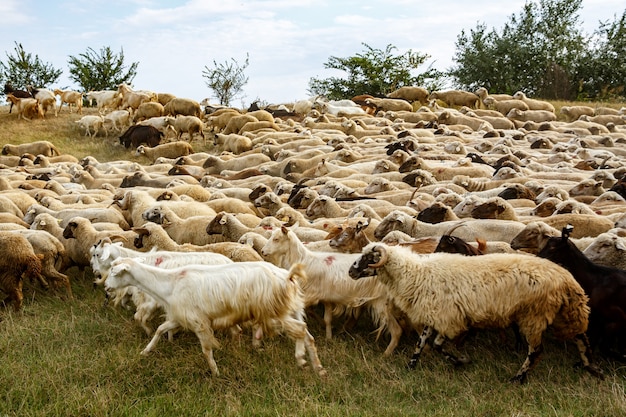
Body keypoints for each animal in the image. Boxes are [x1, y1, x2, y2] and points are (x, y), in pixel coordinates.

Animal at [104, 258, 324, 376]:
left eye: (114, 273)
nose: (105, 288)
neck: (170, 284)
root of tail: (288, 276)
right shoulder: (180, 316)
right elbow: (159, 330)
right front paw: (145, 351)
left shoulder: (198, 321)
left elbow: (206, 350)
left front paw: (215, 372)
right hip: (289, 310)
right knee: (308, 335)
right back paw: (318, 368)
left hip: (274, 312)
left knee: (300, 330)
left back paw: (301, 358)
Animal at [348, 242, 604, 382]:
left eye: (369, 257)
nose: (351, 272)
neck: (415, 274)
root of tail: (566, 279)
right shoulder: (433, 313)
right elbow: (422, 343)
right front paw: (411, 366)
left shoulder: (449, 317)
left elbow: (437, 345)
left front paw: (461, 360)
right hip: (564, 313)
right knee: (581, 337)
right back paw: (592, 368)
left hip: (535, 315)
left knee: (537, 351)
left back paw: (518, 378)